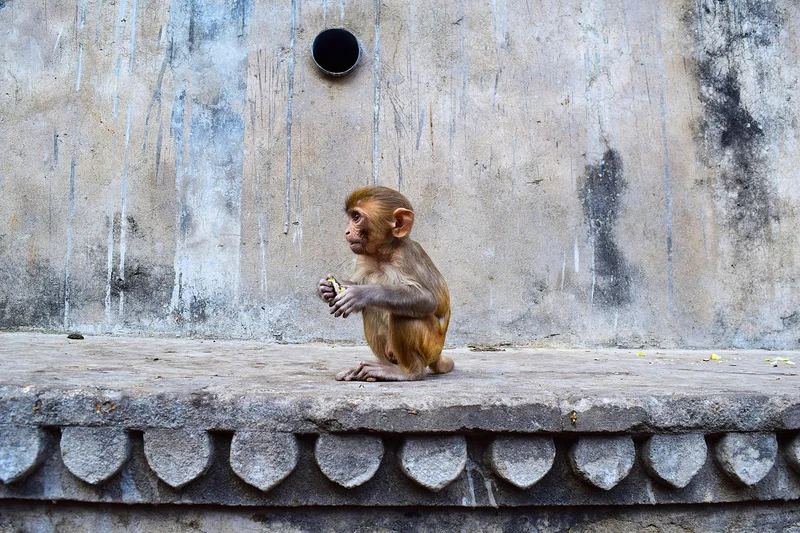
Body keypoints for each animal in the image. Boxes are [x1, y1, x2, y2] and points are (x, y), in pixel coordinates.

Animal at [317, 186, 453, 381]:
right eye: (351, 216)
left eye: (356, 217)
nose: (347, 231)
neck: (382, 255)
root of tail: (439, 354)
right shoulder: (364, 258)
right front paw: (326, 288)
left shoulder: (405, 257)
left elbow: (427, 300)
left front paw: (360, 294)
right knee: (372, 309)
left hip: (431, 345)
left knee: (402, 315)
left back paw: (407, 372)